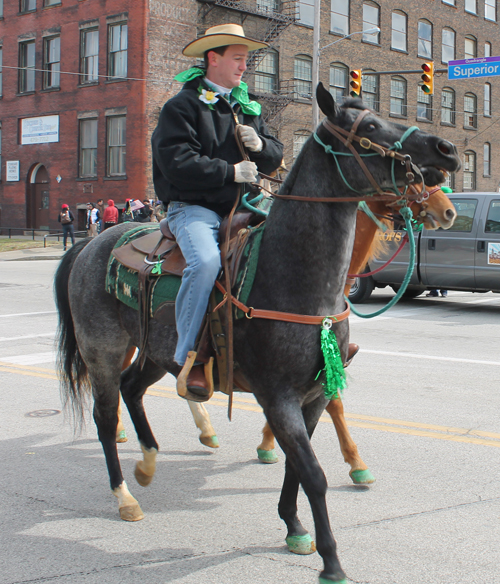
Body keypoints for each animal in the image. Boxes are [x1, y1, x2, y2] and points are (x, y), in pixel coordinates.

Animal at [55, 84, 460, 580]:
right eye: (368, 126)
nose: (445, 150)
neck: (294, 278)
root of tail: (90, 243)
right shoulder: (279, 397)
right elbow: (313, 474)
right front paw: (331, 559)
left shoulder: (315, 393)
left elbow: (297, 467)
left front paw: (294, 527)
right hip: (104, 351)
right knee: (107, 414)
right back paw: (125, 496)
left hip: (156, 351)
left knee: (133, 391)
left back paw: (149, 463)